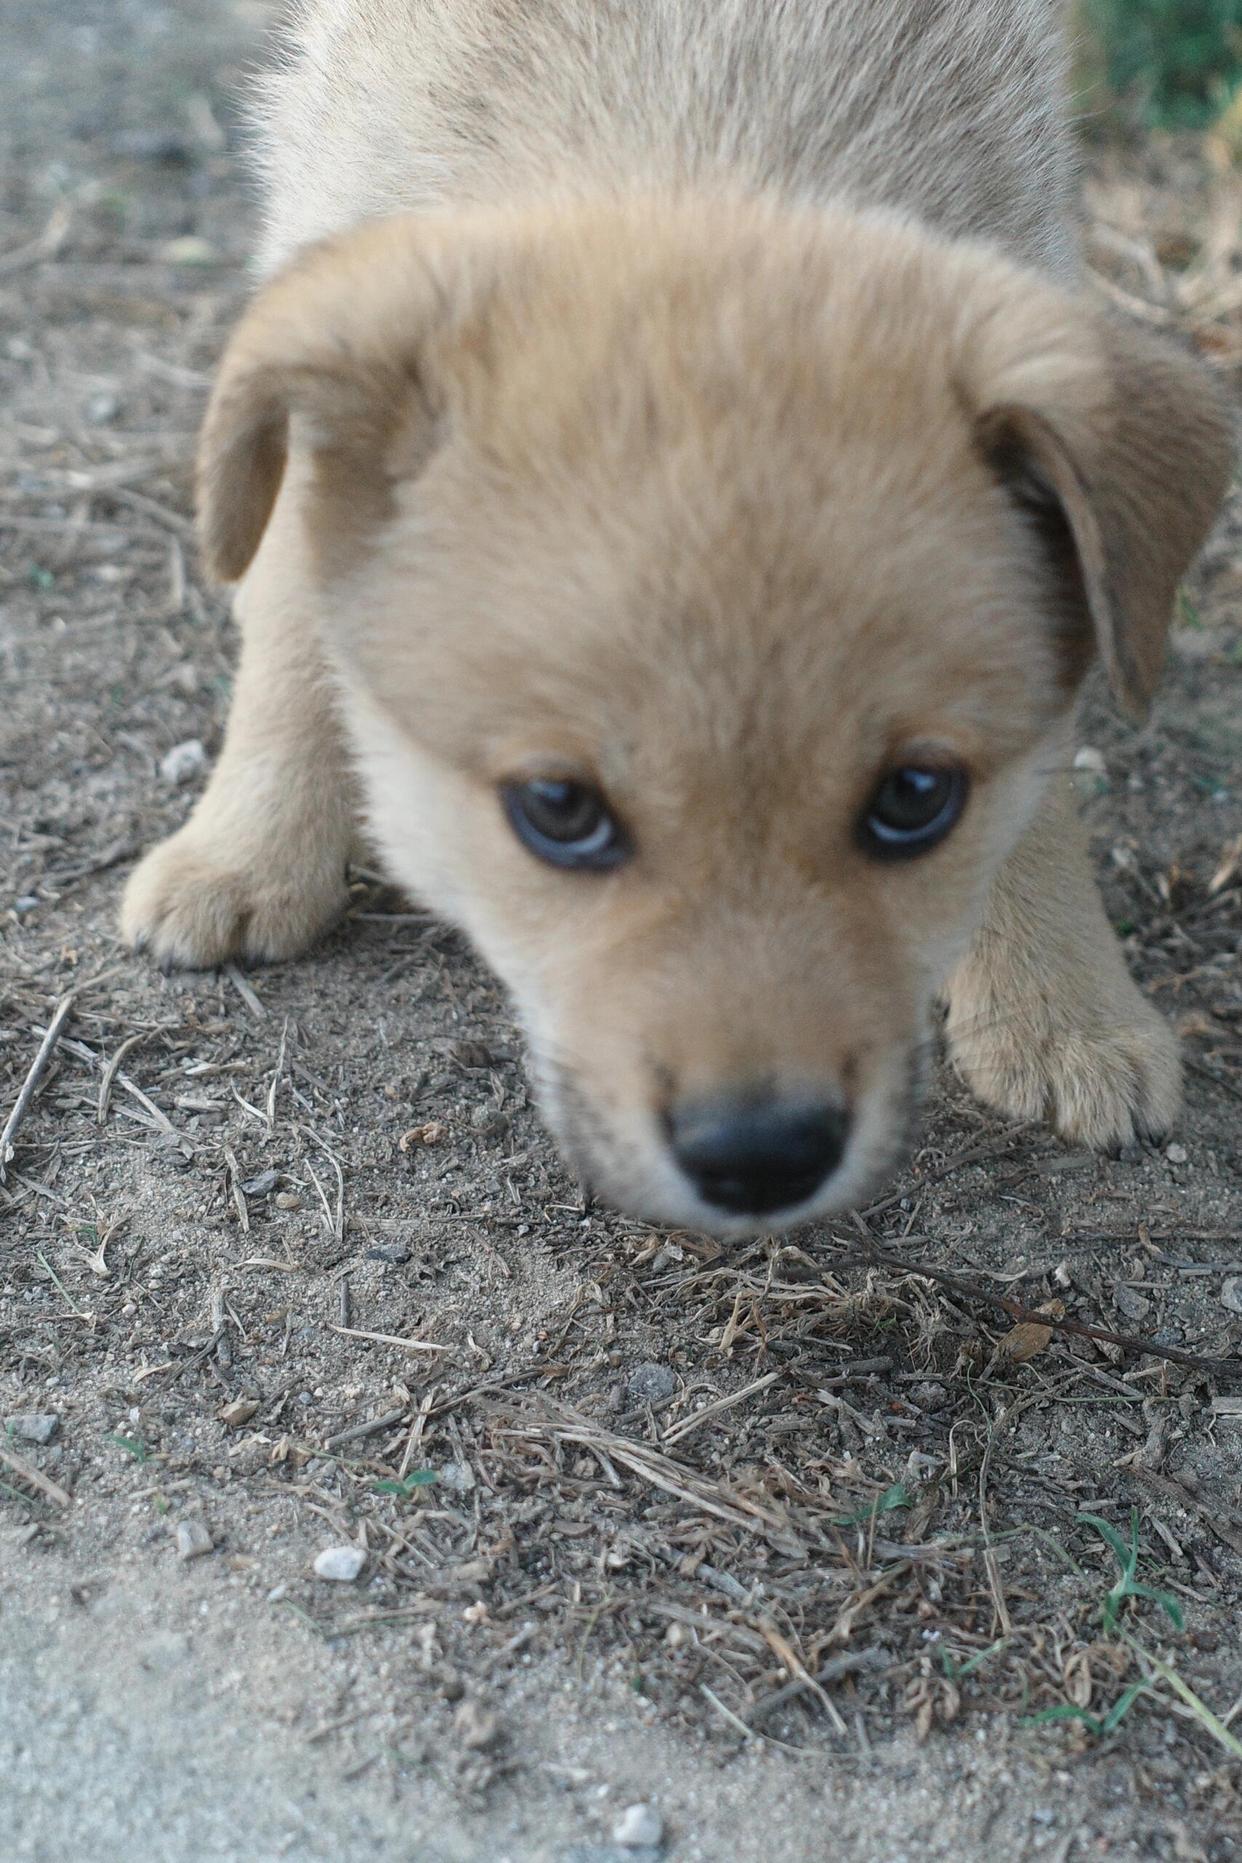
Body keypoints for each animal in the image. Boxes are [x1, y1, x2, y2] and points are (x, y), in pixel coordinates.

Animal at [119, 3, 1236, 1237]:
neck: (695, 115)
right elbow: (286, 629)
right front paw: (246, 854)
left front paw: (1064, 1003)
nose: (761, 1155)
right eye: (557, 809)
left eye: (916, 796)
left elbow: (1039, 786)